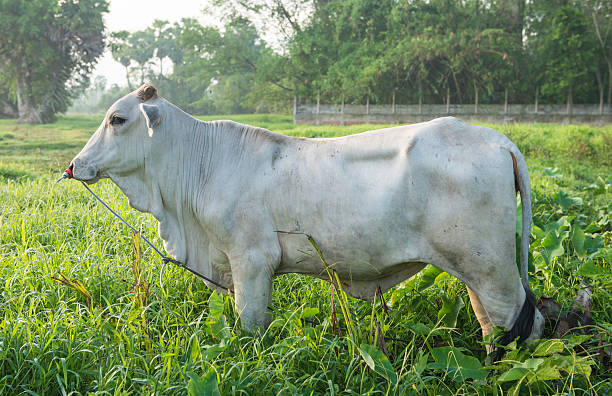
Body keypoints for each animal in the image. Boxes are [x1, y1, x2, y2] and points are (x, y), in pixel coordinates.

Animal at [69, 85, 544, 354]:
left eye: (117, 119)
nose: (75, 166)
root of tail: (497, 140)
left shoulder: (252, 261)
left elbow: (250, 327)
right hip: (476, 273)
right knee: (495, 326)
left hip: (492, 269)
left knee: (522, 325)